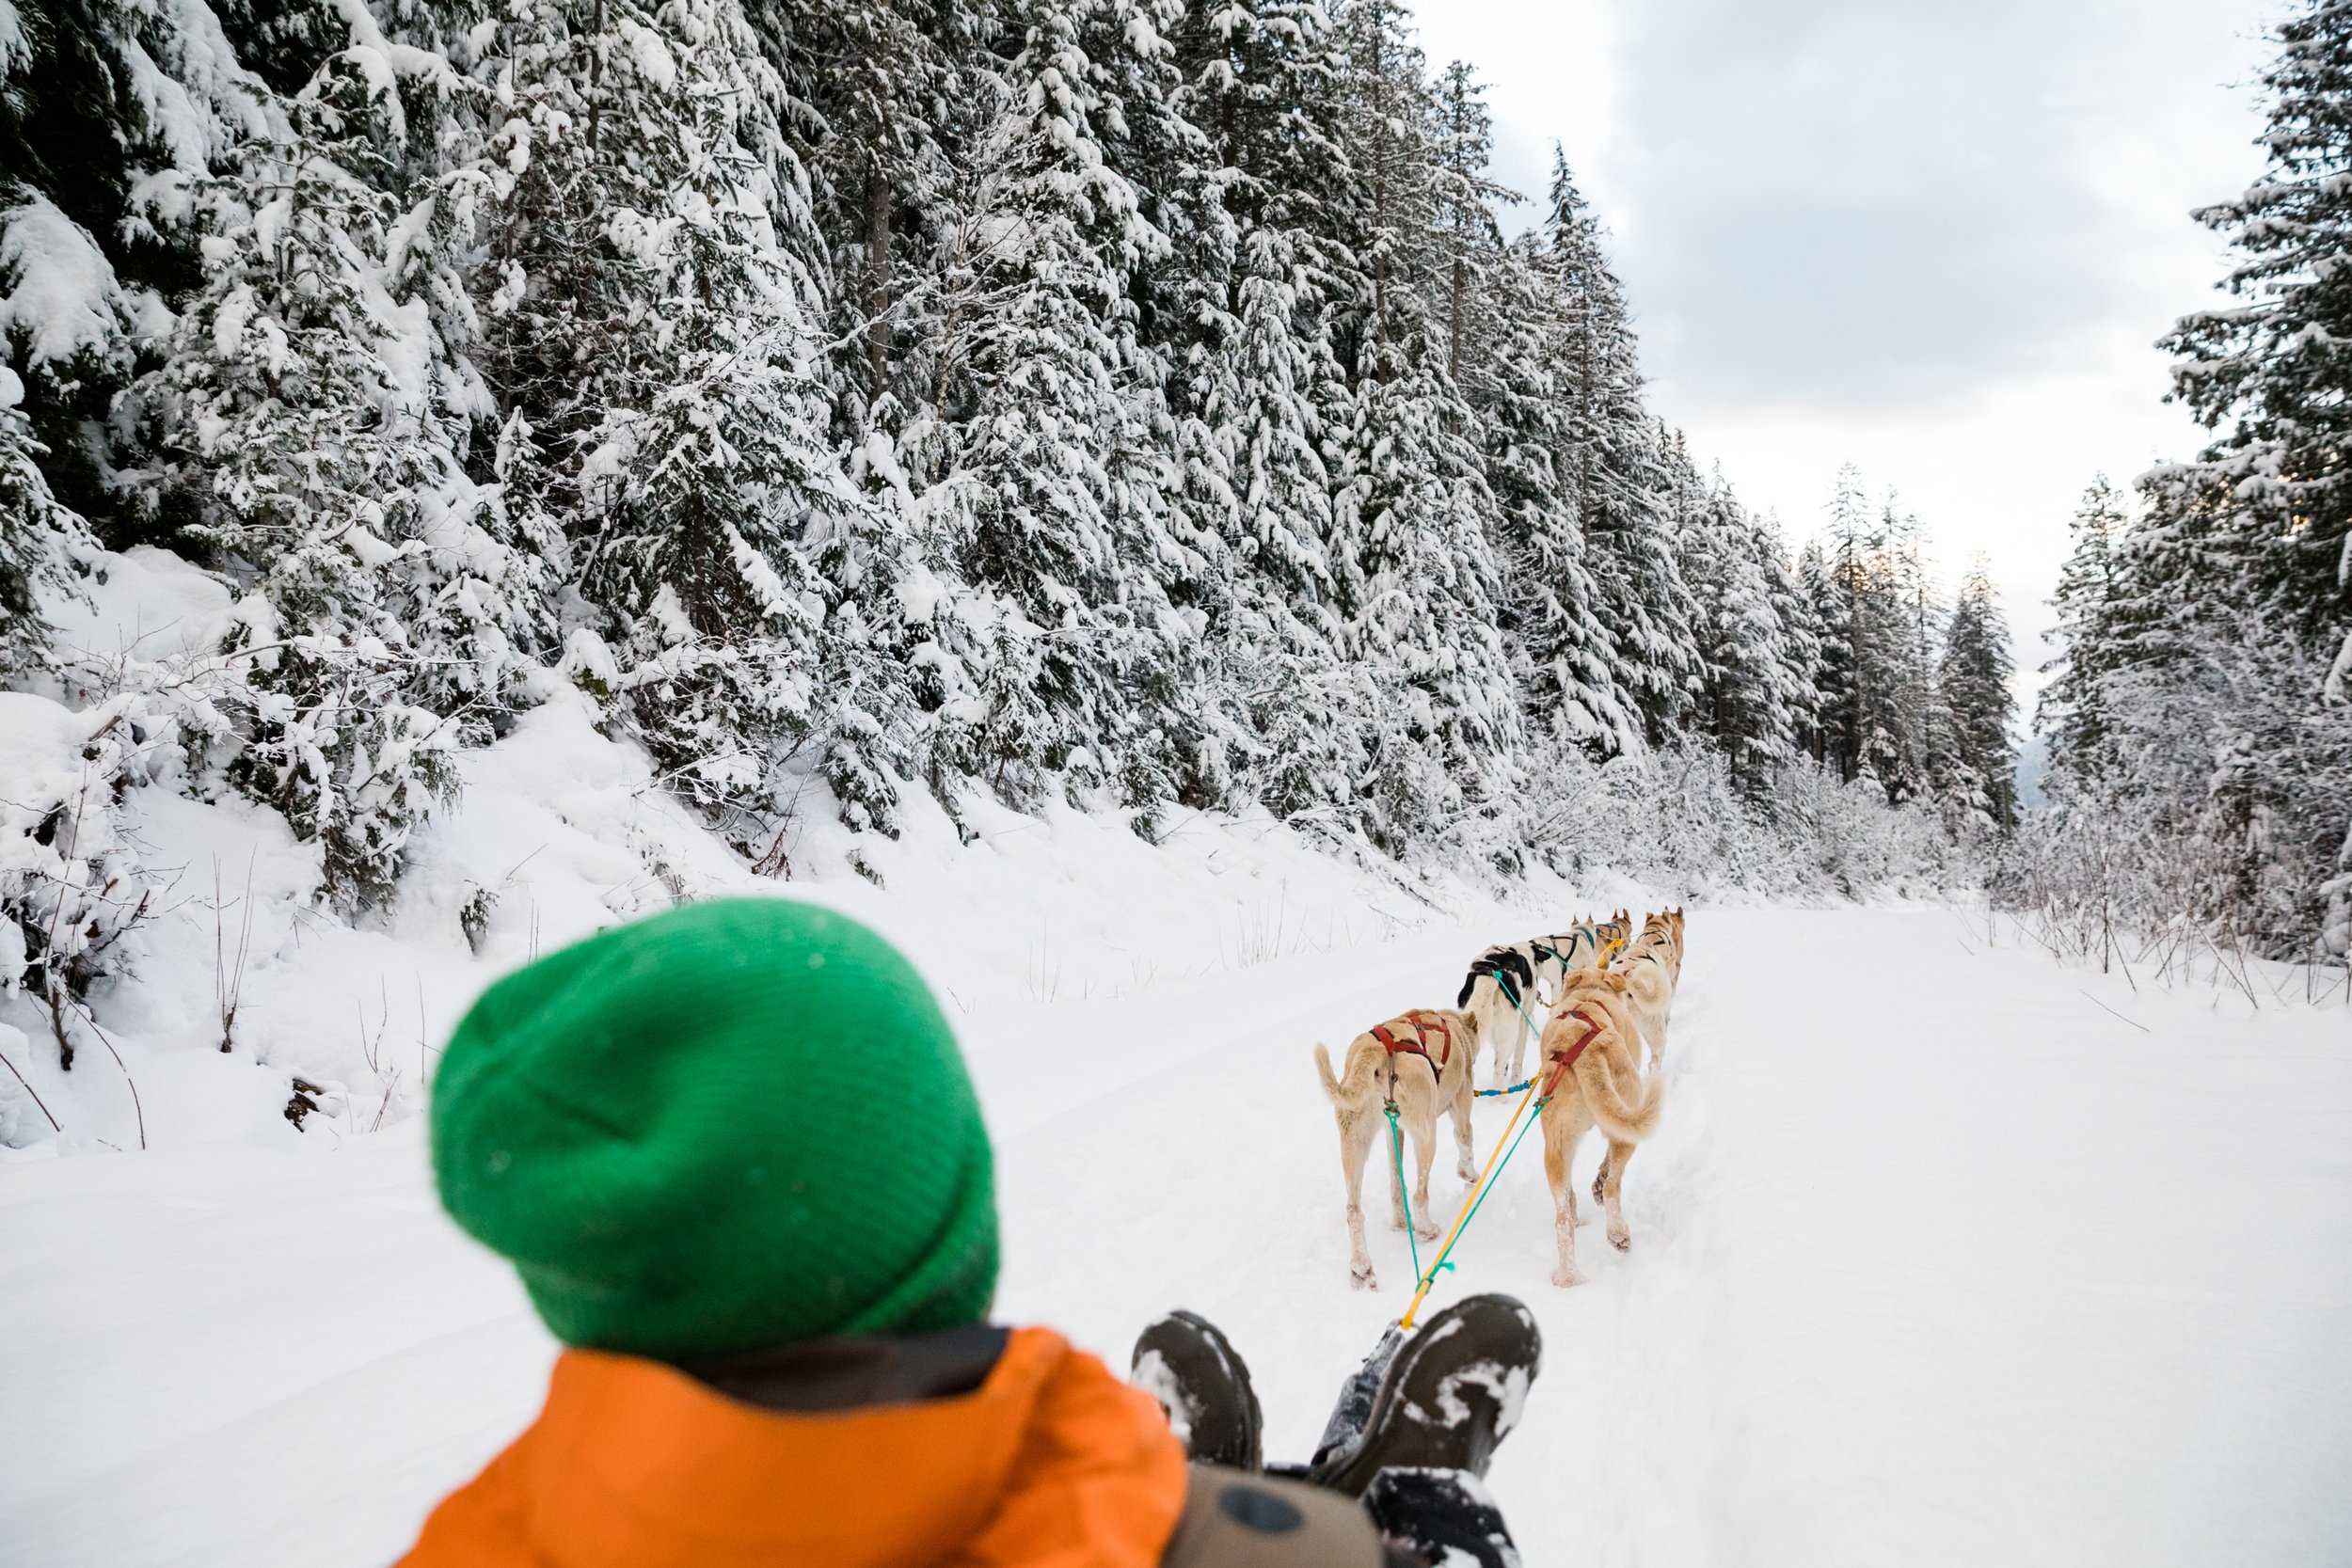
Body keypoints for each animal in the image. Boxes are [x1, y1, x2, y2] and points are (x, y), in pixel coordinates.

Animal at [1317, 1010, 1477, 1297]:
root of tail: (1376, 1051)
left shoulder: (1394, 1131)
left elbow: (1394, 1180)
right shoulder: (1461, 1105)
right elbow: (1465, 1141)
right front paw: (1470, 1175)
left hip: (1354, 1142)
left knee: (1354, 1209)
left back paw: (1363, 1265)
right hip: (1427, 1133)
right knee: (1419, 1195)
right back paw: (1426, 1230)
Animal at [1534, 973, 1665, 1297]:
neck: (1589, 991)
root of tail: (1585, 1053)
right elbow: (1607, 1167)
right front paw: (1599, 1180)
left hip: (1556, 1146)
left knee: (1563, 1215)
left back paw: (1568, 1277)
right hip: (1627, 1123)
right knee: (1612, 1185)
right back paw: (1617, 1232)